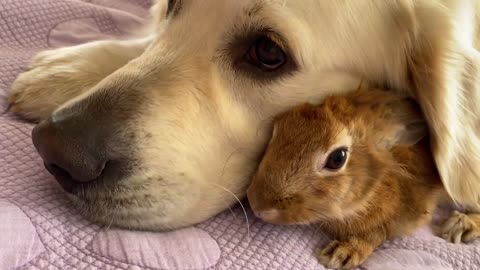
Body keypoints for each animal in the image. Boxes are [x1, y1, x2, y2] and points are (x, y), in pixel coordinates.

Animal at [246, 87, 480, 268]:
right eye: (277, 131)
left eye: (337, 159)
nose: (257, 205)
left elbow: (380, 232)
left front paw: (341, 253)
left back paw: (461, 224)